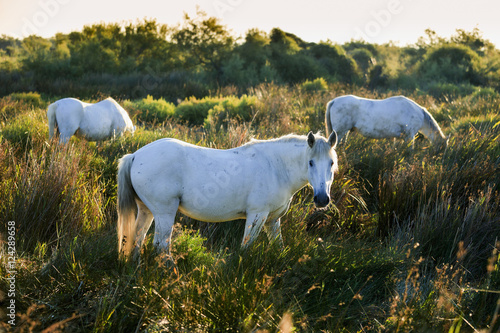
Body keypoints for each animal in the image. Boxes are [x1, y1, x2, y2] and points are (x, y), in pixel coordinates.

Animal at [115, 130, 338, 260]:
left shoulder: (272, 220)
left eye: (332, 163)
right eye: (310, 162)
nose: (322, 199)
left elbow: (279, 246)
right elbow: (246, 247)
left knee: (137, 239)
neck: (276, 166)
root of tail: (135, 156)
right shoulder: (257, 215)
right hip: (164, 213)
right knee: (161, 245)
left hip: (146, 211)